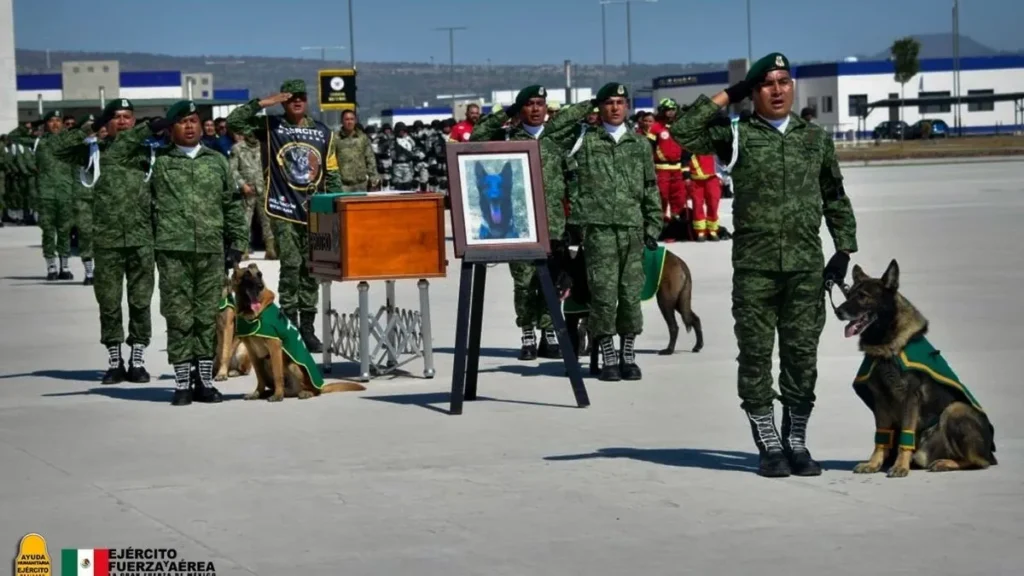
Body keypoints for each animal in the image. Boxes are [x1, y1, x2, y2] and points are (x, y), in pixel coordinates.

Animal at [233, 264, 368, 401]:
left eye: (259, 275)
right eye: (247, 275)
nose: (260, 286)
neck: (251, 314)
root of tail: (321, 386)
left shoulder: (274, 346)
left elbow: (278, 374)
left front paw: (277, 395)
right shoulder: (253, 354)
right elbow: (260, 378)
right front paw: (257, 393)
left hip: (292, 365)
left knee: (312, 390)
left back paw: (302, 392)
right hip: (266, 362)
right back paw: (270, 392)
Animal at [552, 241, 704, 373]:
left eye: (571, 271)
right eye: (559, 270)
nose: (557, 286)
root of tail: (679, 261)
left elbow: (587, 332)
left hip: (665, 302)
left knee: (674, 326)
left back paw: (669, 350)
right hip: (679, 302)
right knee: (694, 318)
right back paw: (698, 345)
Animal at [835, 260, 995, 475]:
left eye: (863, 296)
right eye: (849, 294)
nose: (838, 311)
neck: (887, 346)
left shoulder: (910, 398)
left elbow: (906, 434)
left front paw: (900, 466)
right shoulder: (880, 400)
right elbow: (881, 437)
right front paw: (874, 463)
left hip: (955, 409)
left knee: (978, 462)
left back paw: (945, 463)